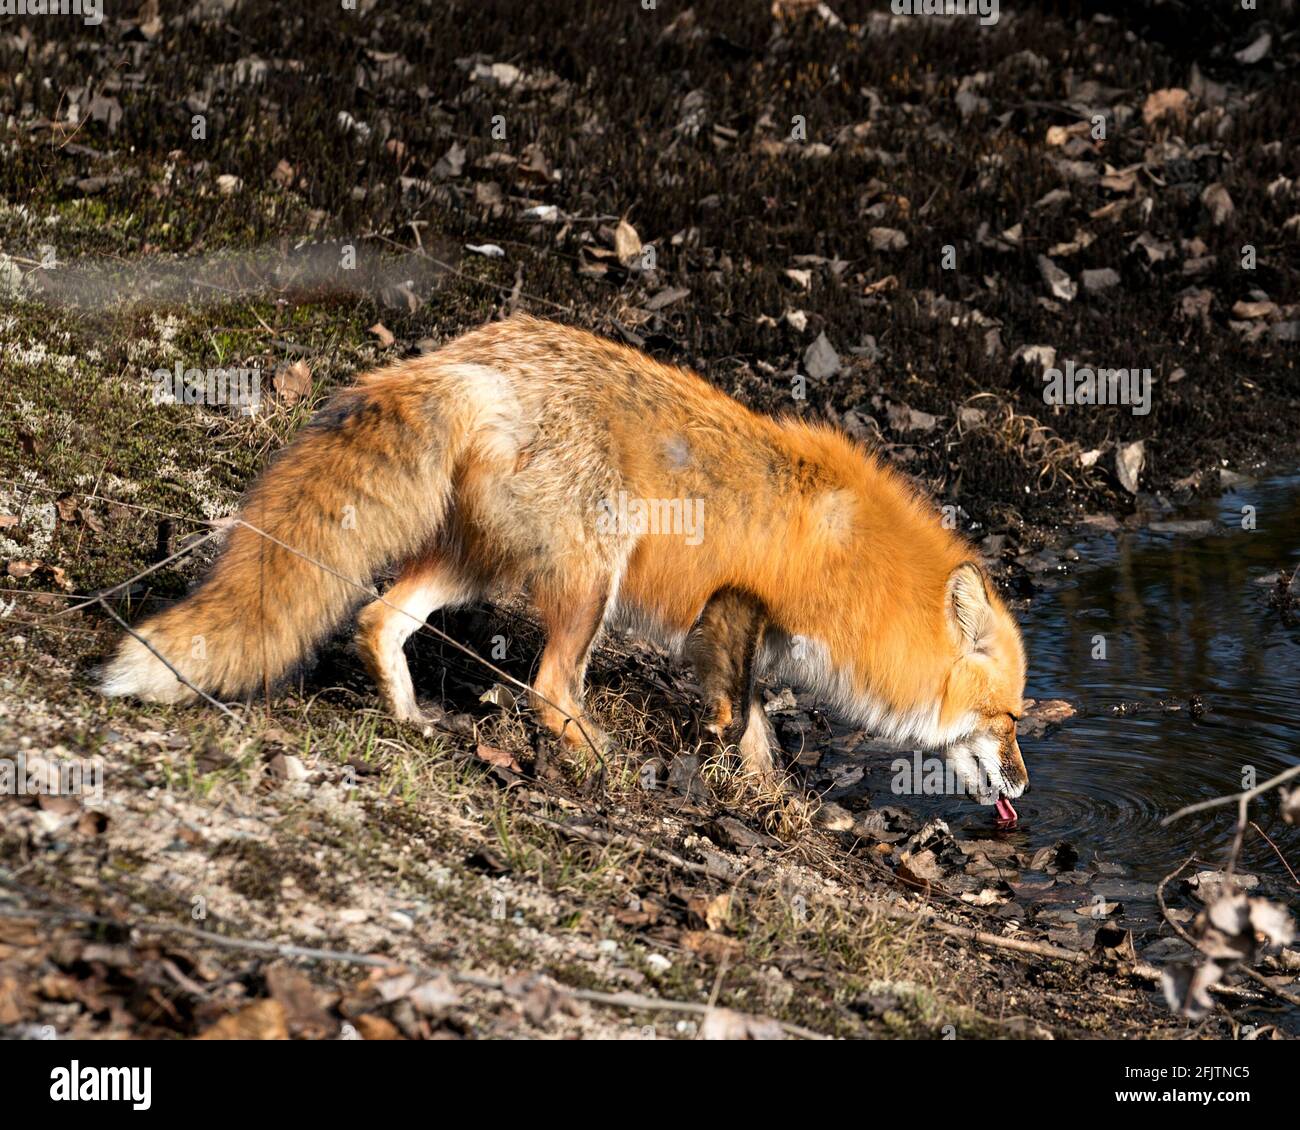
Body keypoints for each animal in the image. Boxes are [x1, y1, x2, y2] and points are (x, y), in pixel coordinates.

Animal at [101, 313, 1029, 816]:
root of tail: (462, 359)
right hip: (592, 578)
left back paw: (408, 719)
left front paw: (765, 794)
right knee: (548, 690)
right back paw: (600, 761)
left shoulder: (743, 638)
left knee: (377, 618)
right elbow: (743, 721)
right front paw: (754, 794)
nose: (1022, 783)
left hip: (479, 567)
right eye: (1010, 719)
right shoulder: (737, 611)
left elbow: (755, 723)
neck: (865, 578)